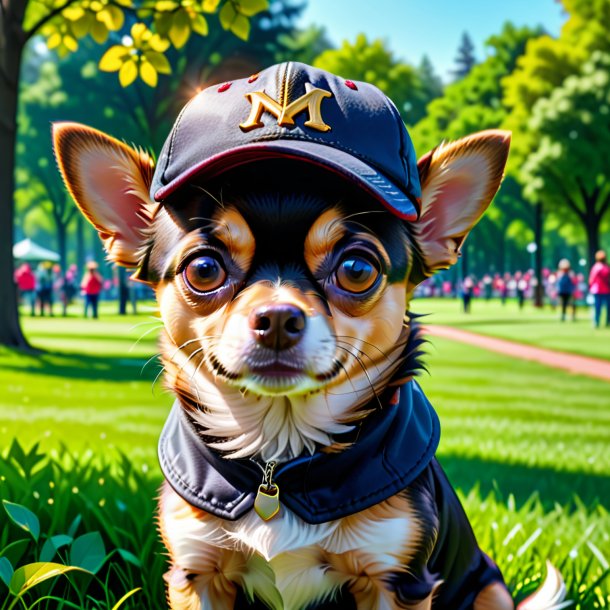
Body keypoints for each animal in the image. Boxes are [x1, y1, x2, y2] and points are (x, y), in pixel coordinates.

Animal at [54, 63, 564, 608]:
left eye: (358, 269)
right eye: (204, 269)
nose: (278, 317)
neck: (279, 453)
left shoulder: (395, 579)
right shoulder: (197, 572)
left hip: (486, 585)